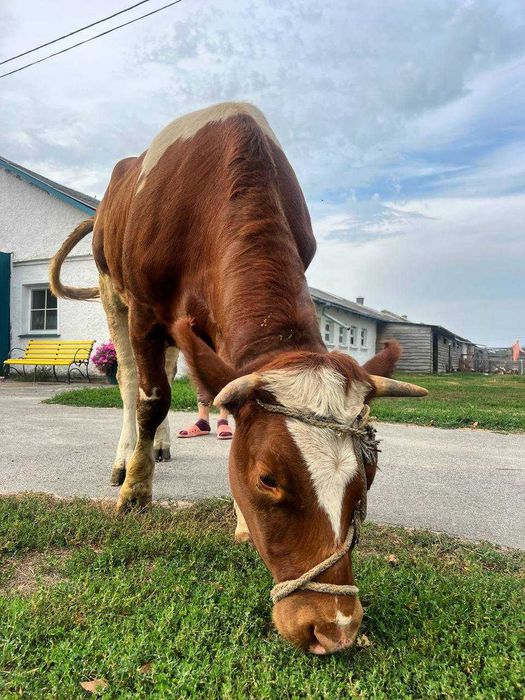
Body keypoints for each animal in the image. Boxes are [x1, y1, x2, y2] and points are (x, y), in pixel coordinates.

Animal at [50, 101, 427, 654]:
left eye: (369, 474)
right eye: (268, 478)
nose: (335, 628)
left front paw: (238, 519)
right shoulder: (144, 309)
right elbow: (151, 398)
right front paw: (136, 494)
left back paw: (160, 448)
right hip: (110, 289)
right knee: (131, 382)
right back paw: (128, 463)